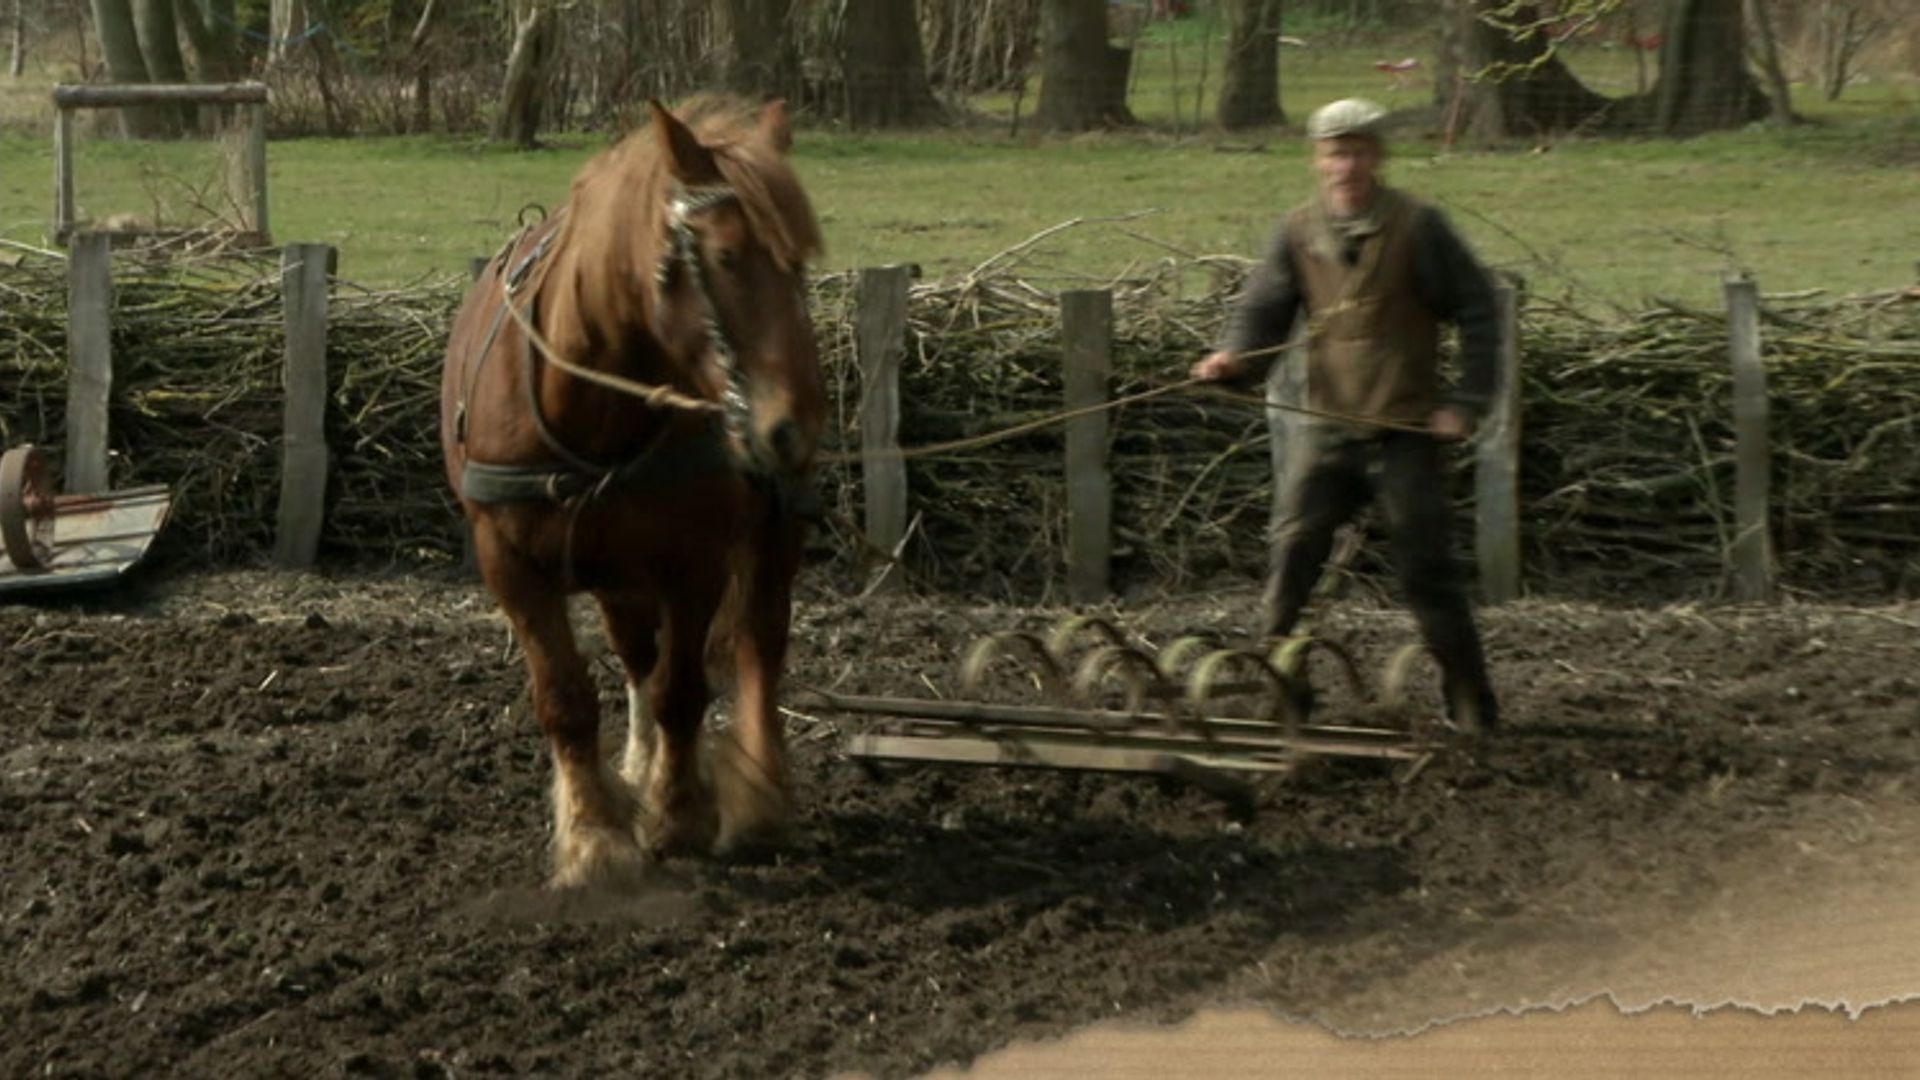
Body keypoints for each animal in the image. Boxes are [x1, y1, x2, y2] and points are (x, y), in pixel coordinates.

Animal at [439, 96, 825, 889]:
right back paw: (640, 769)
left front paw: (678, 813)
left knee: (758, 643)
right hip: (615, 571)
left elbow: (683, 690)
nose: (793, 428)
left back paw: (759, 796)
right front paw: (596, 836)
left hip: (771, 531)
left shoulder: (695, 562)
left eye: (798, 262)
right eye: (725, 257)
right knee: (636, 656)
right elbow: (567, 698)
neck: (591, 409)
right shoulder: (511, 568)